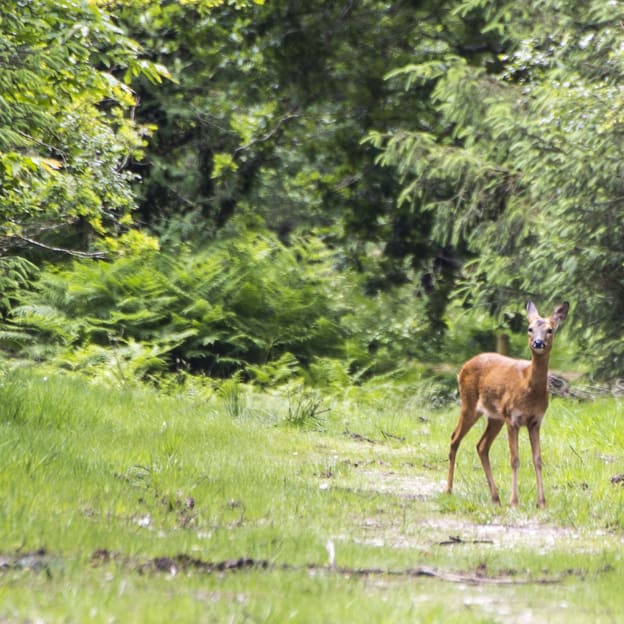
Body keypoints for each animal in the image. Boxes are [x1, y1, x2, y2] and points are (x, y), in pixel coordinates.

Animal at [446, 300, 568, 510]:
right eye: (529, 328)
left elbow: (538, 460)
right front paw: (514, 501)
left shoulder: (536, 421)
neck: (529, 388)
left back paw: (495, 497)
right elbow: (515, 459)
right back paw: (449, 490)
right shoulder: (513, 418)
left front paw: (541, 502)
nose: (538, 343)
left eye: (550, 330)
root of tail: (463, 367)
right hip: (470, 405)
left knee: (481, 446)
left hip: (495, 417)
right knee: (455, 438)